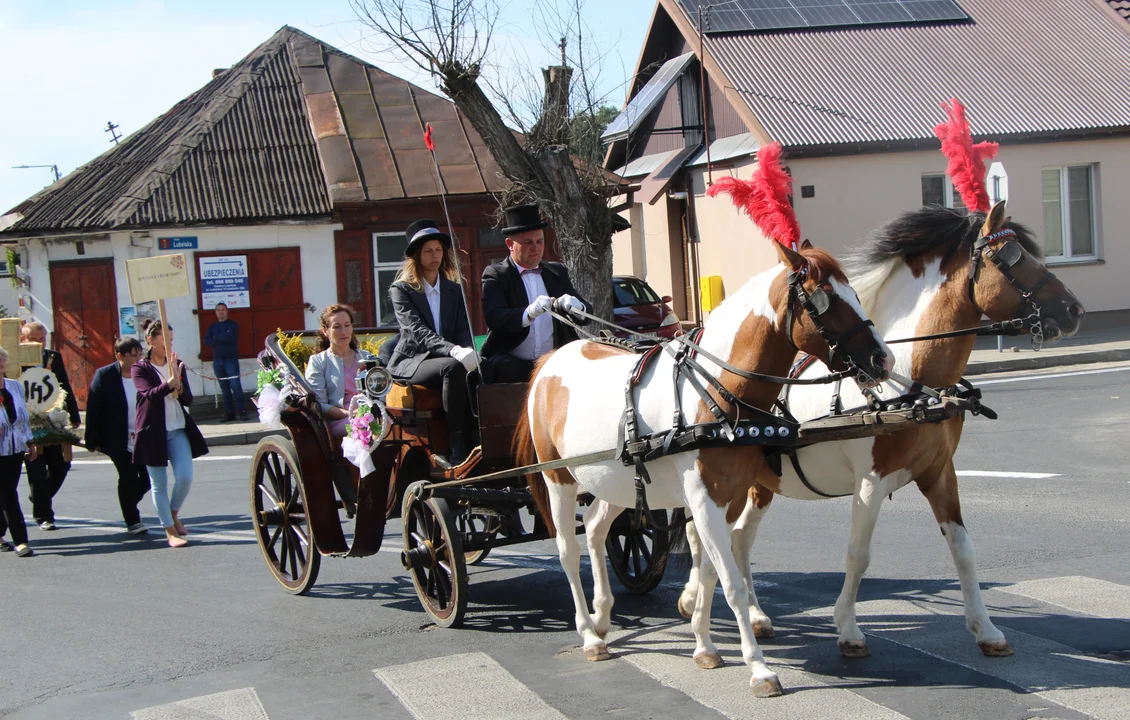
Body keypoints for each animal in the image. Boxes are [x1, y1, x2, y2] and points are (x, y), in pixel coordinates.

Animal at [517, 239, 894, 696]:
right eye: (825, 299)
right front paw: (759, 667)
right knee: (568, 551)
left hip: (616, 482)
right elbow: (730, 581)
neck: (715, 390)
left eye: (854, 292)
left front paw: (705, 646)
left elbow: (713, 571)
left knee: (593, 528)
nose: (883, 359)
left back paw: (603, 616)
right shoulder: (703, 498)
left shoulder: (727, 499)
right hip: (558, 478)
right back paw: (588, 634)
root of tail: (550, 361)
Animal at [678, 198, 1084, 660]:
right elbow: (859, 555)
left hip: (760, 481)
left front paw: (986, 628)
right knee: (703, 534)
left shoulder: (940, 473)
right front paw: (849, 627)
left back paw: (754, 614)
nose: (1073, 310)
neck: (911, 384)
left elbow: (963, 549)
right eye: (1013, 257)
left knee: (737, 538)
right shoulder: (871, 483)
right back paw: (695, 600)